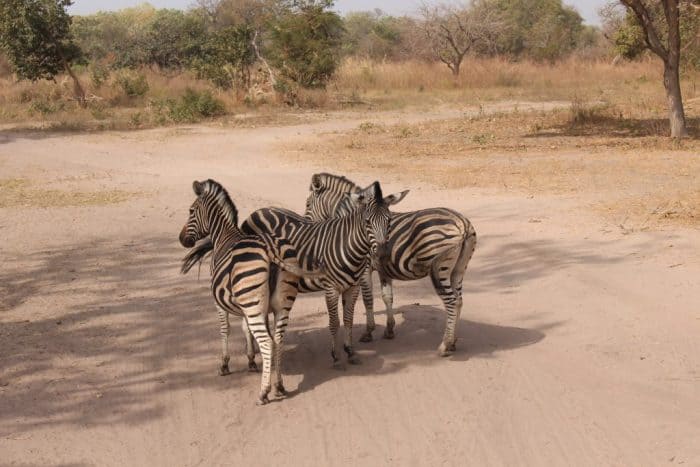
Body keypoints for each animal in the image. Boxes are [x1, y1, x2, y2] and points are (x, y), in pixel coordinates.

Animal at [178, 179, 324, 405]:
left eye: (191, 211)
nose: (182, 239)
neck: (224, 236)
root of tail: (270, 249)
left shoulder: (220, 302)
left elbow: (226, 329)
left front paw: (225, 364)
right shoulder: (247, 305)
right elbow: (246, 329)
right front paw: (251, 360)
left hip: (254, 302)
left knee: (267, 341)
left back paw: (264, 392)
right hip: (281, 305)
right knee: (278, 340)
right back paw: (279, 386)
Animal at [183, 181, 407, 366]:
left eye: (389, 221)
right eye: (368, 222)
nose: (382, 254)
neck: (346, 243)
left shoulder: (352, 286)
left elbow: (349, 319)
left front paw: (350, 351)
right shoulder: (331, 287)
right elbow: (335, 321)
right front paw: (336, 355)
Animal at [304, 173, 477, 357]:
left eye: (308, 204)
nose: (307, 225)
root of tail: (462, 223)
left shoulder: (365, 269)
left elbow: (368, 299)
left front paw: (368, 331)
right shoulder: (383, 269)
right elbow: (388, 297)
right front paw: (389, 330)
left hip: (440, 268)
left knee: (452, 301)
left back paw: (445, 345)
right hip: (459, 269)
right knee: (459, 300)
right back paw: (453, 342)